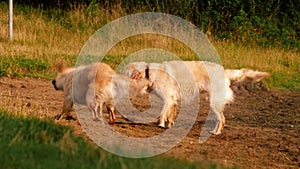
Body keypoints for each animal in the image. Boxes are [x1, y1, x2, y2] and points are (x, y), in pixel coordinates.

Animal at [122, 60, 270, 135]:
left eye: (125, 74)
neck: (148, 73)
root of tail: (224, 71)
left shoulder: (168, 98)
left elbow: (163, 113)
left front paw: (161, 124)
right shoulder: (173, 99)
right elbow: (170, 114)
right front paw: (169, 124)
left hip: (214, 103)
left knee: (221, 119)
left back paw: (216, 133)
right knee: (221, 119)